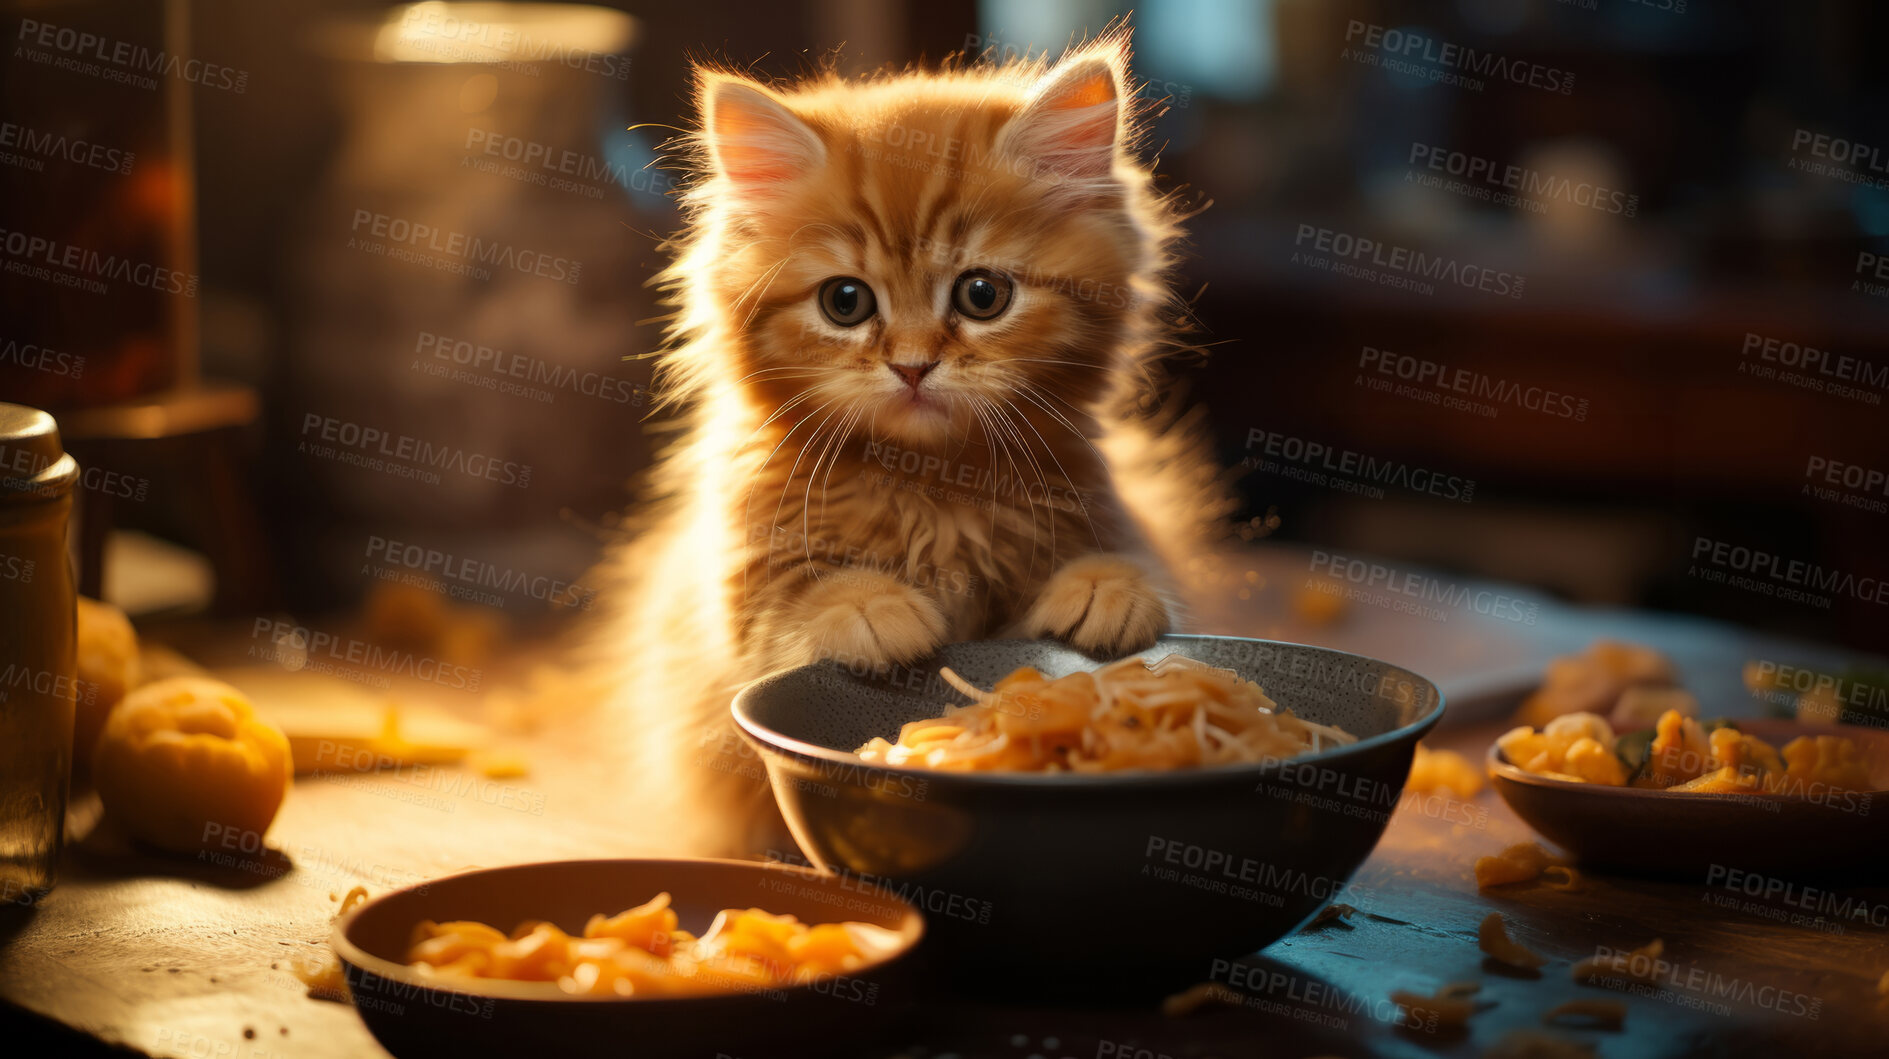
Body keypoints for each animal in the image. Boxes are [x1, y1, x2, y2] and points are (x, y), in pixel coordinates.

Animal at [593, 37, 1239, 853]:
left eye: (982, 295)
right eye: (845, 302)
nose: (910, 364)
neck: (931, 485)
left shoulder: (1110, 511)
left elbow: (1132, 565)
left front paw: (1105, 587)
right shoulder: (737, 594)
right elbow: (797, 600)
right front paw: (869, 606)